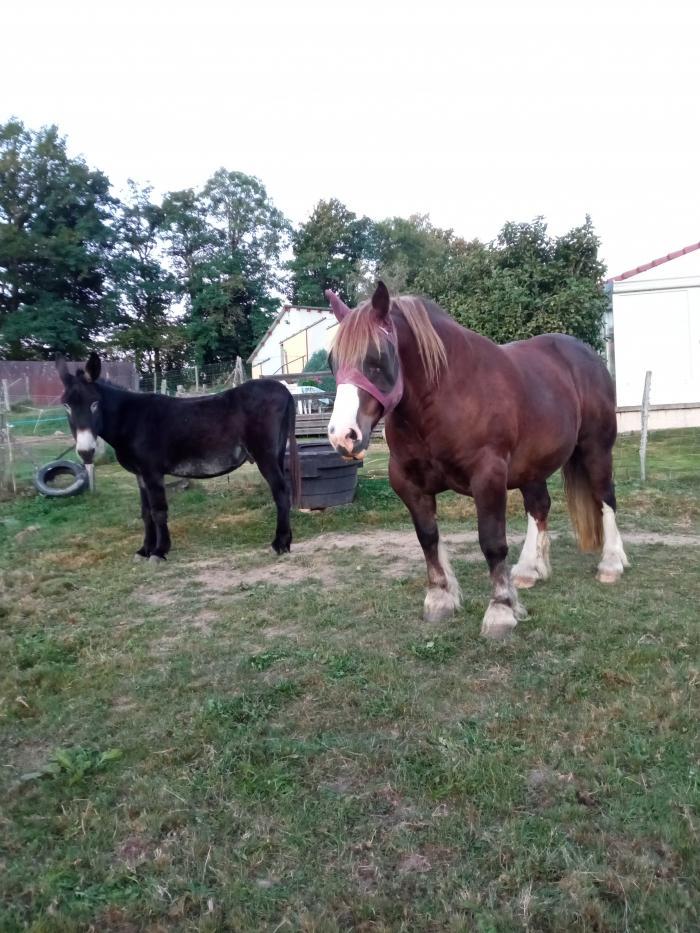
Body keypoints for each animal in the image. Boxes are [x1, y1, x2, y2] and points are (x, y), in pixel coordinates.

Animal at [328, 280, 628, 636]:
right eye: (332, 363)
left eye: (377, 359)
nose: (343, 435)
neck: (444, 397)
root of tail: (586, 355)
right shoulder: (408, 483)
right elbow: (427, 538)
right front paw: (440, 598)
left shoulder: (488, 477)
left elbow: (492, 542)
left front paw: (500, 610)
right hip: (532, 466)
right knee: (539, 507)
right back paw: (529, 569)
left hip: (596, 449)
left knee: (605, 498)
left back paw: (611, 563)